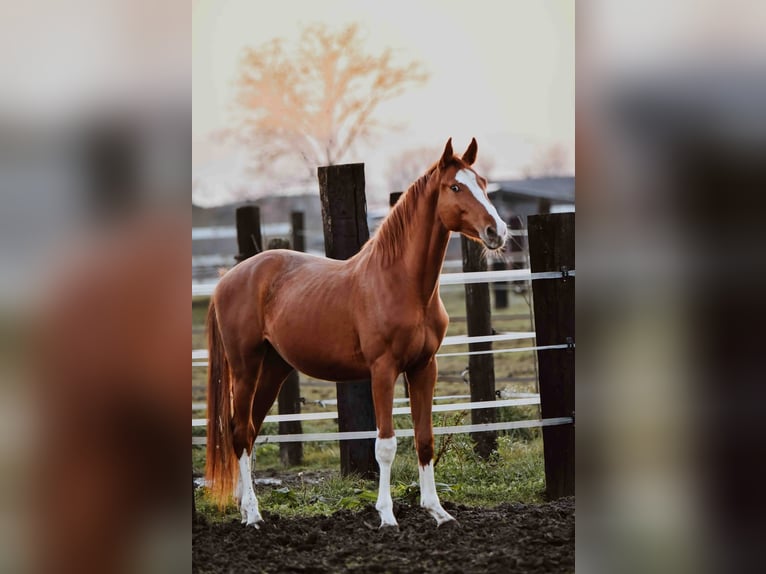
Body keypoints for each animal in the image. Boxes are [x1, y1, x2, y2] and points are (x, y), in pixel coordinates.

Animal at [206, 137, 510, 528]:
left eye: (483, 183)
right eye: (455, 187)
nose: (497, 231)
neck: (401, 283)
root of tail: (227, 279)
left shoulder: (424, 367)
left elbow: (424, 439)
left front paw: (437, 511)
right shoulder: (382, 370)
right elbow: (385, 445)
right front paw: (387, 515)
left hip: (273, 369)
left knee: (248, 429)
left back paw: (246, 507)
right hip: (245, 368)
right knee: (240, 432)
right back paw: (254, 515)